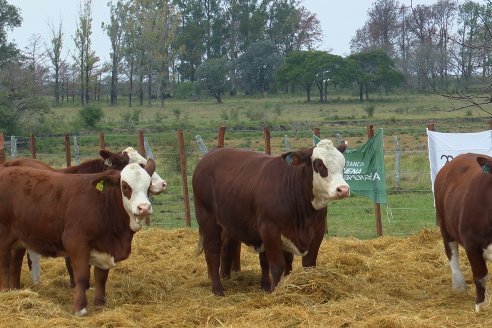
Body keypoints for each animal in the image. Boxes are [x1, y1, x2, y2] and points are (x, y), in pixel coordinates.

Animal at [0, 159, 156, 316]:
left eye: (148, 186)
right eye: (125, 187)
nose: (144, 208)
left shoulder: (105, 247)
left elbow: (101, 278)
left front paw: (99, 304)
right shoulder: (76, 242)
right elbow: (81, 276)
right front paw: (79, 309)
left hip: (19, 240)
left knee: (15, 264)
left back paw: (15, 290)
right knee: (5, 265)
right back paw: (5, 292)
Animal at [192, 138, 350, 294]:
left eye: (343, 164)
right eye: (319, 164)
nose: (343, 189)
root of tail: (209, 156)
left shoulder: (317, 231)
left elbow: (305, 264)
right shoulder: (270, 230)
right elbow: (277, 265)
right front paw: (275, 291)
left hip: (230, 222)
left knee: (228, 247)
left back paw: (227, 278)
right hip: (207, 218)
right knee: (212, 251)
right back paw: (218, 289)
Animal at [434, 152, 492, 312]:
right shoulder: (472, 243)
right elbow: (480, 276)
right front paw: (481, 304)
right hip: (443, 223)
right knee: (451, 251)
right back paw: (459, 284)